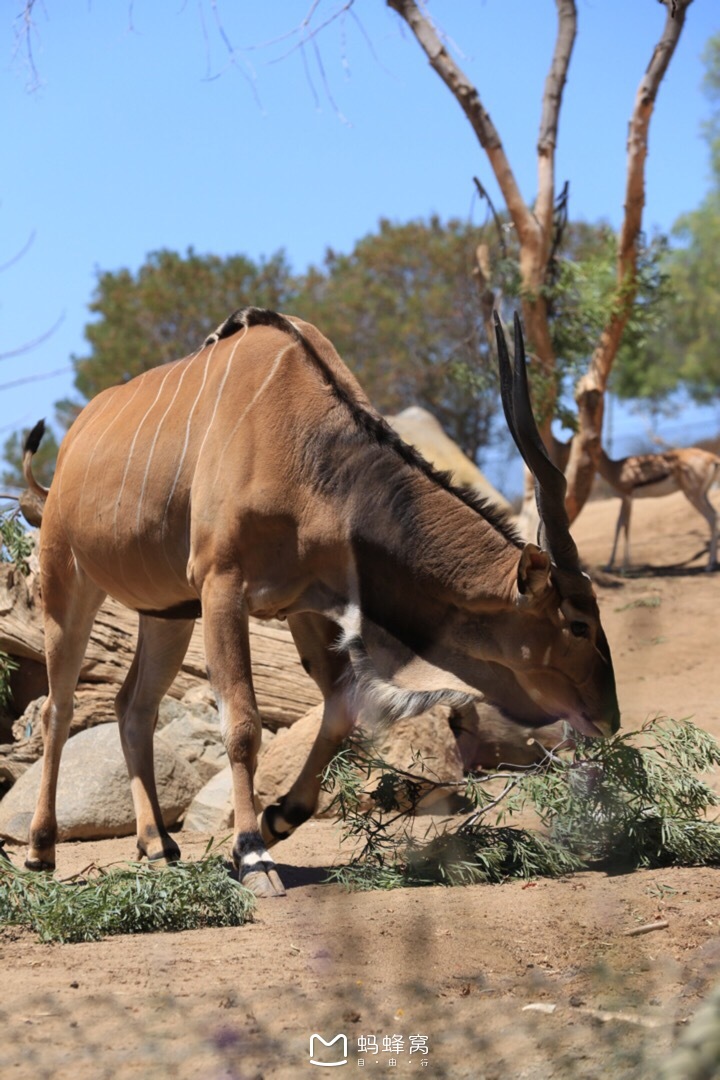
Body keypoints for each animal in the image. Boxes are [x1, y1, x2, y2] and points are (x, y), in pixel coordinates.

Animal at [22, 308, 621, 898]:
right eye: (577, 624)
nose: (608, 718)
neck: (314, 451)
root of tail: (69, 451)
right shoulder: (222, 584)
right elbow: (243, 724)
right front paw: (251, 853)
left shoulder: (305, 604)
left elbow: (339, 712)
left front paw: (275, 819)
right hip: (68, 583)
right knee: (59, 707)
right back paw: (40, 850)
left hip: (168, 613)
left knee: (133, 705)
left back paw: (156, 844)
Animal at [595, 444, 720, 574]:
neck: (615, 467)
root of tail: (712, 458)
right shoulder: (623, 500)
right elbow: (618, 525)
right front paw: (608, 565)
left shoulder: (627, 498)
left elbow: (626, 526)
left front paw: (624, 567)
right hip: (703, 495)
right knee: (715, 515)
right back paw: (713, 563)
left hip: (693, 496)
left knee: (711, 517)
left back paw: (709, 566)